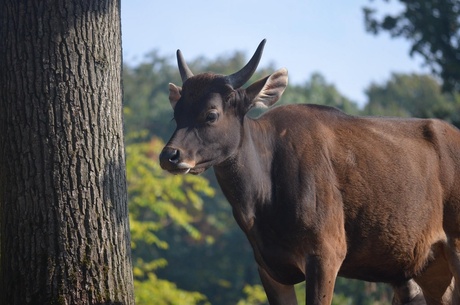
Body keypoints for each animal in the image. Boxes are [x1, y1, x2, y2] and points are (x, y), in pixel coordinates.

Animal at [159, 39, 460, 302]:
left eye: (211, 114)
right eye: (176, 113)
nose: (169, 155)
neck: (265, 197)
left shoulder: (326, 254)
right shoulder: (269, 268)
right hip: (431, 269)